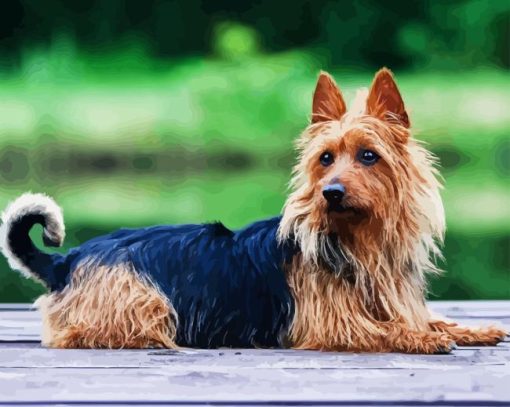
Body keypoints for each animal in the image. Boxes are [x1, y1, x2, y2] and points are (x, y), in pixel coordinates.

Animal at [0, 68, 506, 352]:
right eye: (326, 158)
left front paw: (472, 329)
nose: (331, 193)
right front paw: (425, 339)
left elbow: (427, 318)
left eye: (369, 156)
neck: (356, 242)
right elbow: (384, 331)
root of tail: (68, 259)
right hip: (142, 301)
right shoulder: (330, 324)